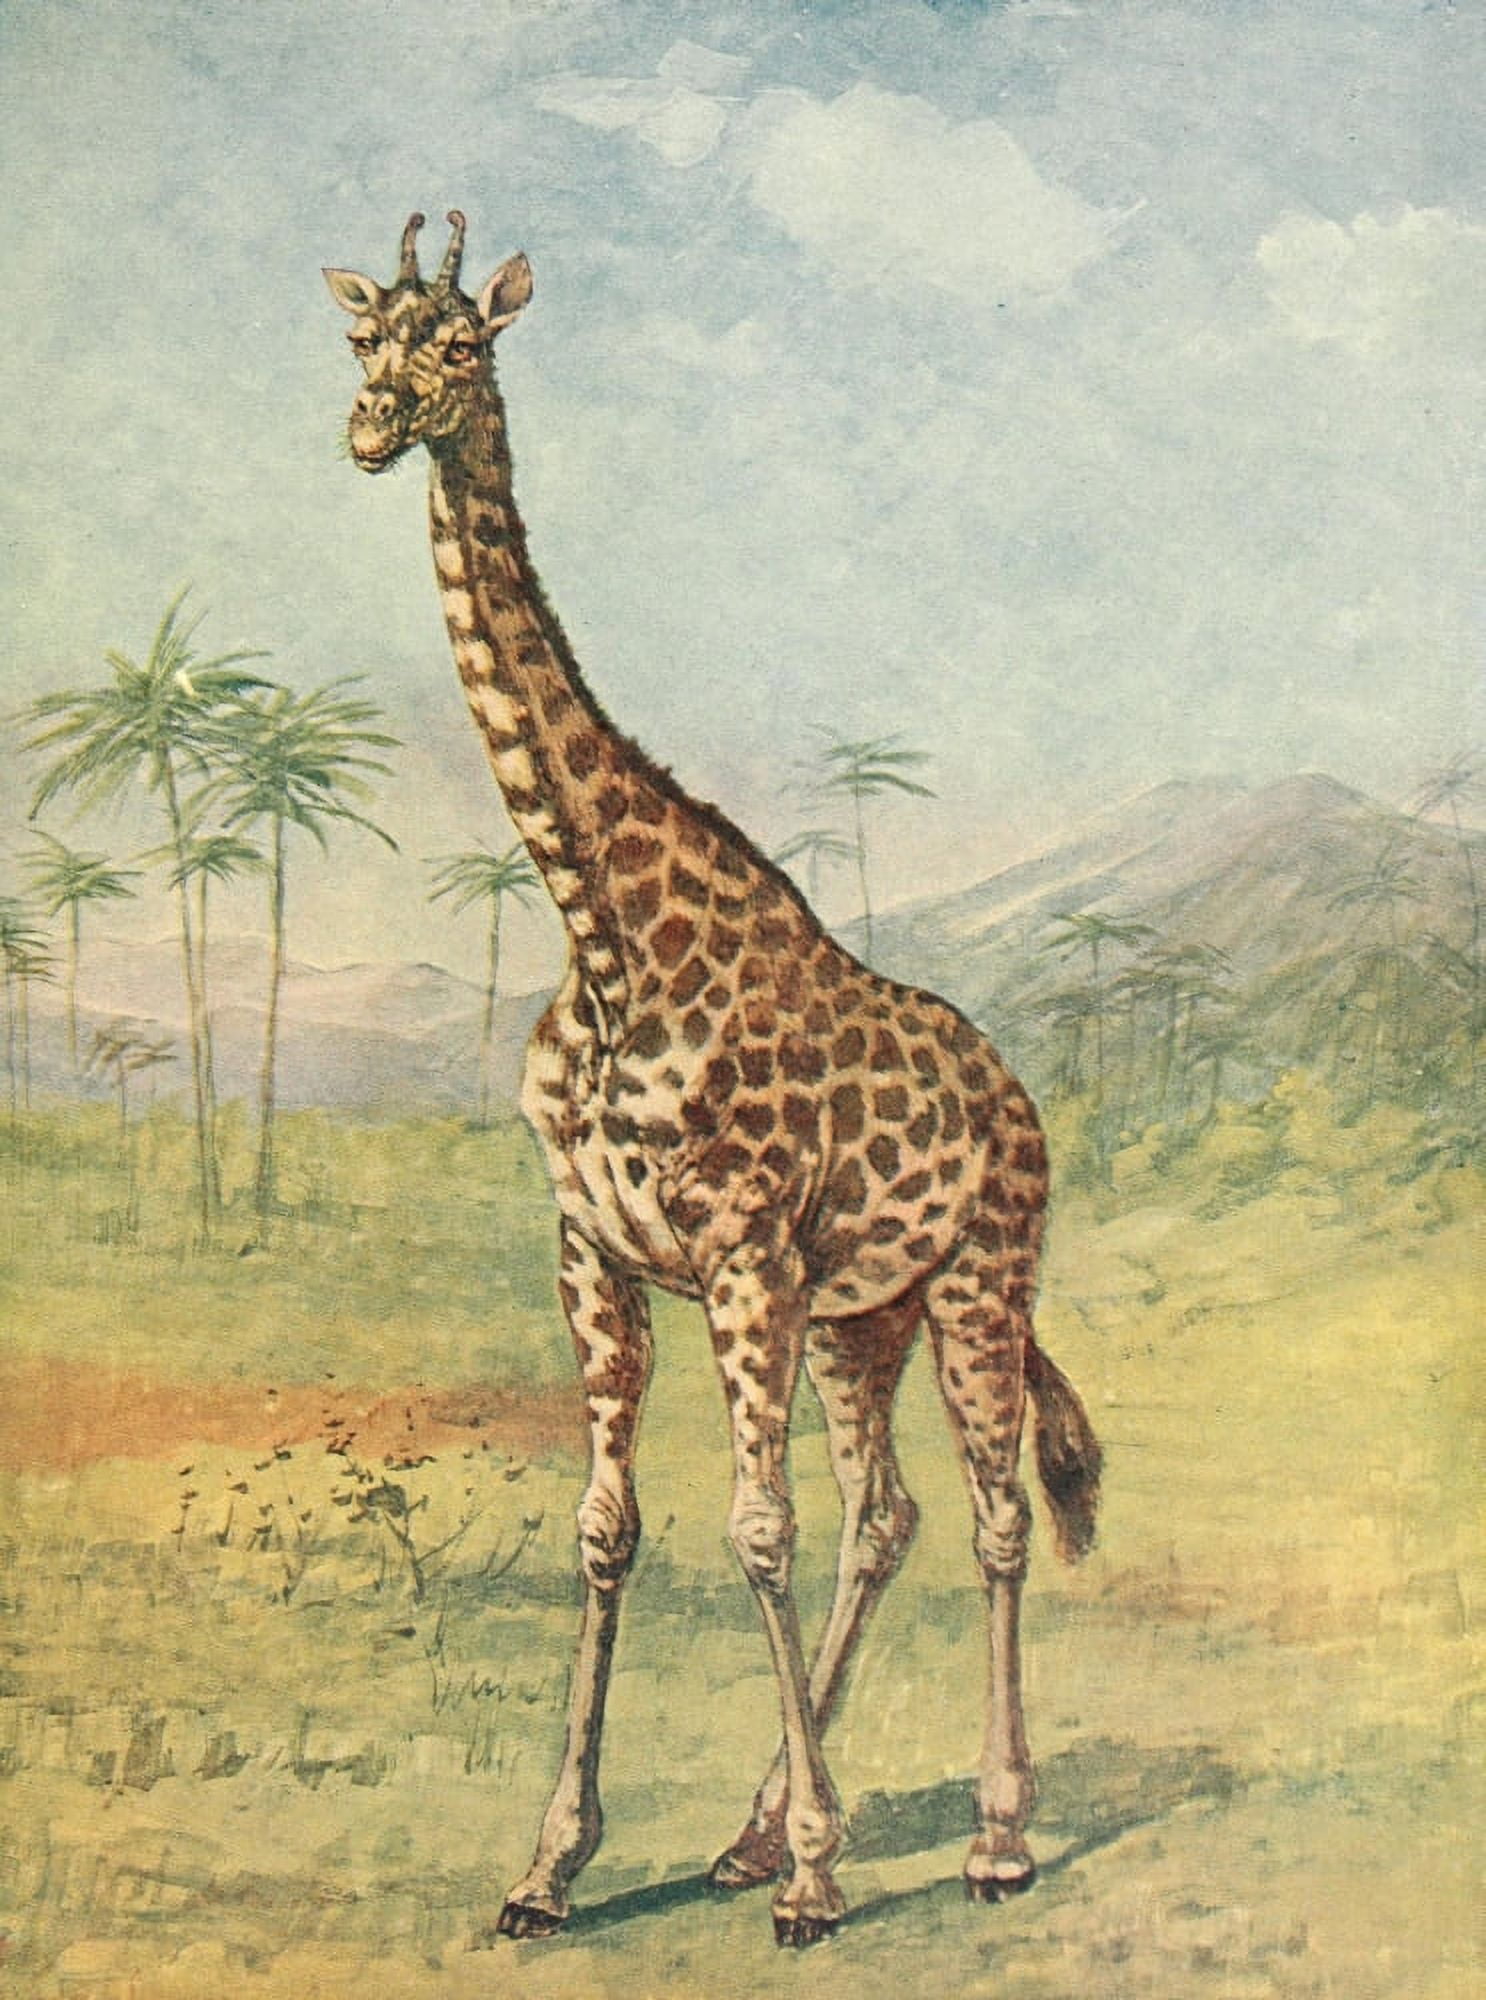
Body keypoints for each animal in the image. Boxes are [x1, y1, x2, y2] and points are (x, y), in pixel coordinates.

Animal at [326, 212, 1103, 1948]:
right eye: (359, 343)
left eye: (458, 348)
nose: (366, 432)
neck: (601, 931)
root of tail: (1015, 1096)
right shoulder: (595, 1254)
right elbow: (608, 1531)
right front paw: (551, 1865)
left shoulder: (741, 1251)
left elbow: (756, 1528)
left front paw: (817, 1877)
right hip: (864, 1316)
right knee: (887, 1515)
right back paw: (755, 1830)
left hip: (976, 1281)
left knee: (993, 1518)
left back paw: (992, 1838)